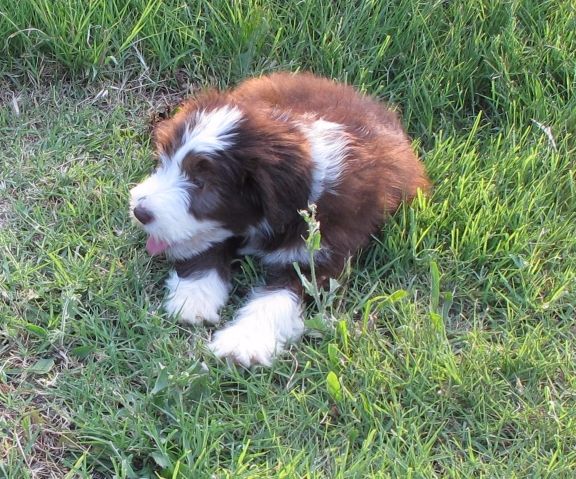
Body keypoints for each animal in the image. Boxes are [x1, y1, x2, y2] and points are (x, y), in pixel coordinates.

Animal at [129, 72, 429, 367]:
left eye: (201, 183)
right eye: (165, 162)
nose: (139, 211)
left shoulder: (317, 257)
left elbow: (277, 298)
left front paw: (242, 344)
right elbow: (207, 245)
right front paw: (193, 297)